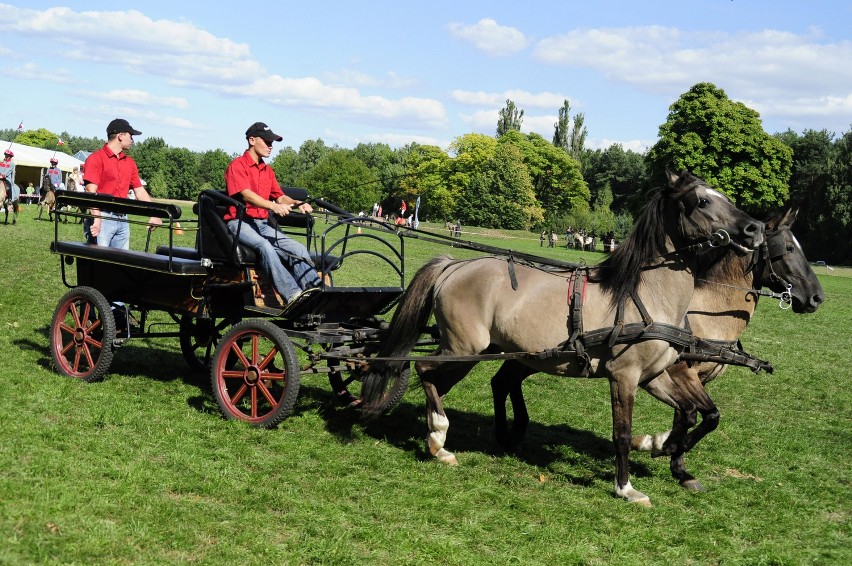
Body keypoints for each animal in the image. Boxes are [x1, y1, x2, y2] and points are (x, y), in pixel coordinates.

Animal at [362, 170, 764, 506]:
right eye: (702, 202)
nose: (755, 228)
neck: (645, 295)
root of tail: (454, 265)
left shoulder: (654, 375)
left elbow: (697, 414)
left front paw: (659, 447)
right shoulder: (624, 376)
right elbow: (622, 433)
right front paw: (626, 487)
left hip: (483, 350)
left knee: (443, 382)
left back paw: (441, 438)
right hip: (464, 348)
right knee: (424, 369)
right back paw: (439, 434)